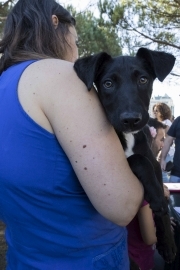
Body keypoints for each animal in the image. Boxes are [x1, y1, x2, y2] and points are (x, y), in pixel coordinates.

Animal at [74, 47, 176, 262]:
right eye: (108, 83)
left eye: (143, 79)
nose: (131, 119)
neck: (128, 136)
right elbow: (138, 159)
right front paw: (156, 196)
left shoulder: (155, 164)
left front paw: (167, 244)